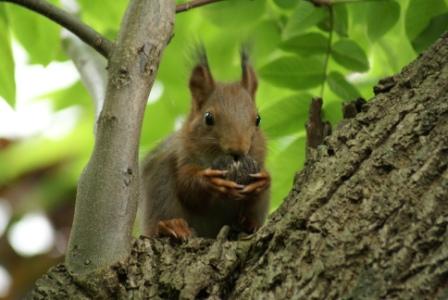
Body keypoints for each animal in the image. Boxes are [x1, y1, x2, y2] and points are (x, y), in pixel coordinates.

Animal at [141, 50, 270, 240]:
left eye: (258, 119)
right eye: (208, 118)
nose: (238, 149)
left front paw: (263, 180)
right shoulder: (182, 154)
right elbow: (187, 187)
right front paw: (210, 181)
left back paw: (248, 224)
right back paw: (171, 226)